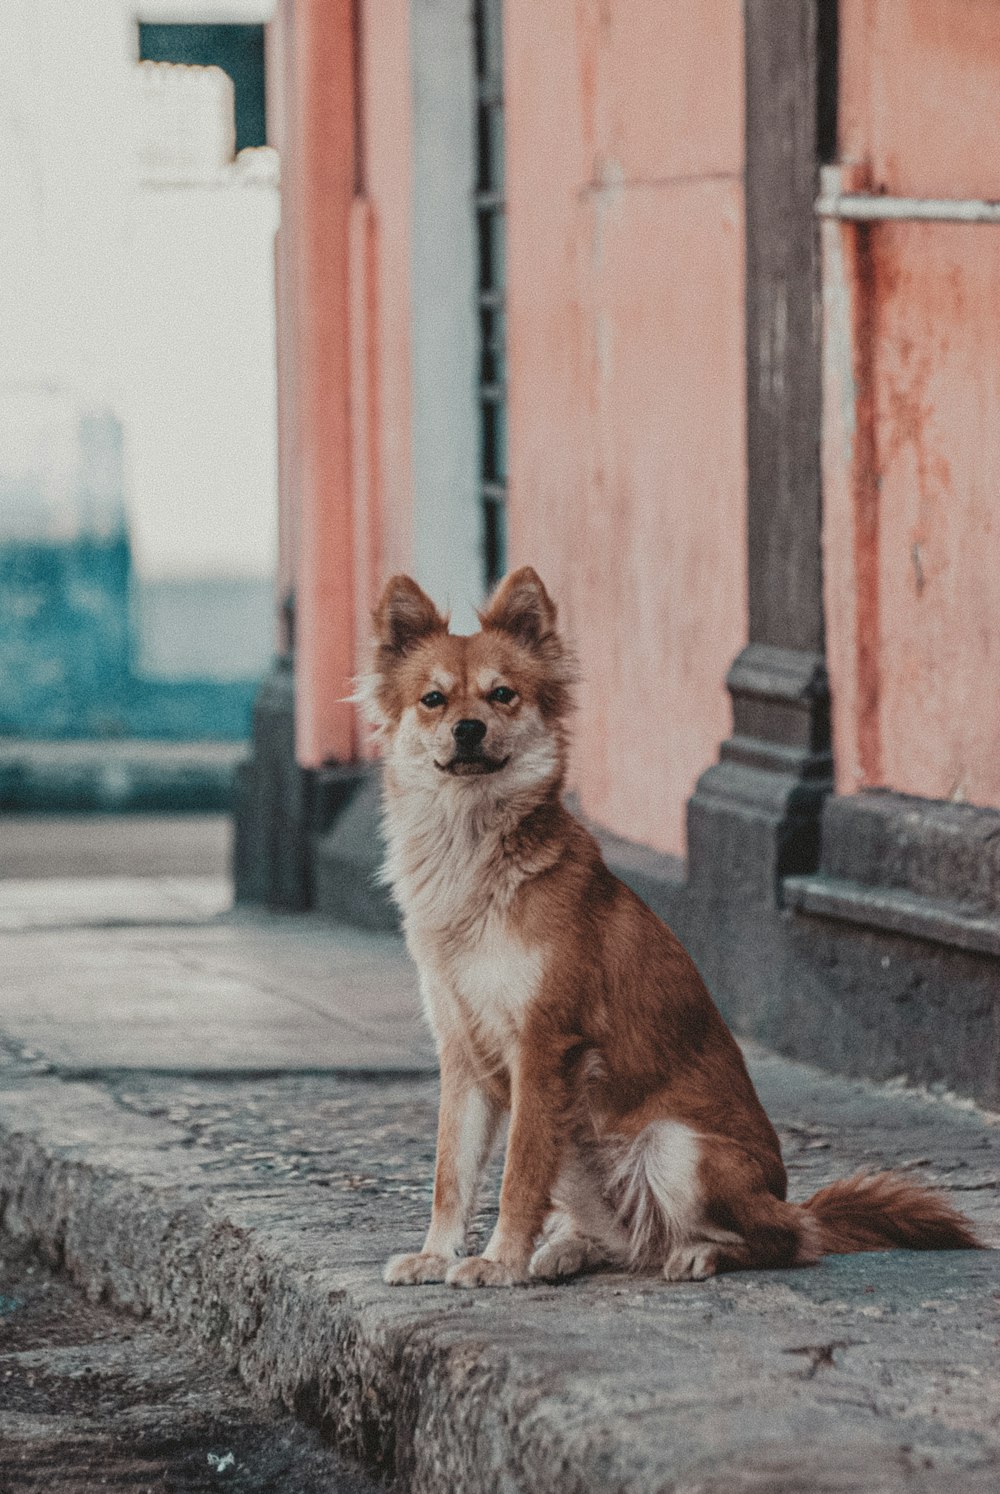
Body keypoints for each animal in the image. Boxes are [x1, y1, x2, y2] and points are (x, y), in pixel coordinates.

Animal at [358, 564, 974, 1290]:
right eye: (432, 700)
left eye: (502, 695)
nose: (469, 729)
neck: (472, 851)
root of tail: (786, 1198)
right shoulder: (464, 1055)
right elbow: (450, 1172)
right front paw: (438, 1253)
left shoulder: (544, 1050)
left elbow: (518, 1174)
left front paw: (499, 1261)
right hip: (587, 1148)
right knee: (629, 1240)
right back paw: (569, 1248)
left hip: (674, 1147)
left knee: (784, 1239)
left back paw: (699, 1252)